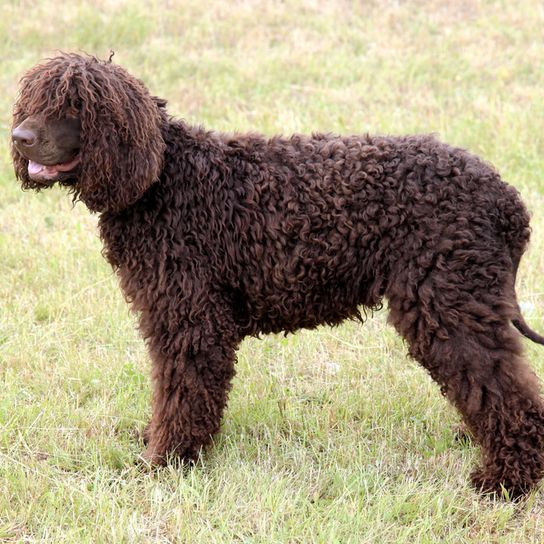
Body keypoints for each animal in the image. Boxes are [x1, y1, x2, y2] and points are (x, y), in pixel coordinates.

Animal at [10, 54, 544, 498]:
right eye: (32, 102)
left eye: (75, 105)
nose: (19, 137)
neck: (162, 177)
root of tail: (507, 201)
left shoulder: (191, 319)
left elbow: (183, 393)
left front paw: (166, 460)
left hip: (447, 301)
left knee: (503, 388)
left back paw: (507, 479)